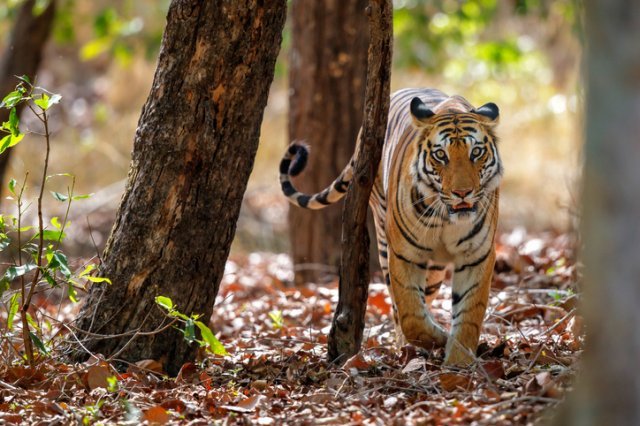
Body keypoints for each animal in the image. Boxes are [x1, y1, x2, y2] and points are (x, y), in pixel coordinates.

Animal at [278, 88, 502, 364]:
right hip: (385, 241)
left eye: (476, 153)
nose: (462, 193)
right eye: (441, 155)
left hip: (435, 270)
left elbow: (469, 313)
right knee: (399, 305)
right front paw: (437, 339)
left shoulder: (477, 256)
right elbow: (410, 314)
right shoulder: (404, 254)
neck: (447, 218)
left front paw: (459, 360)